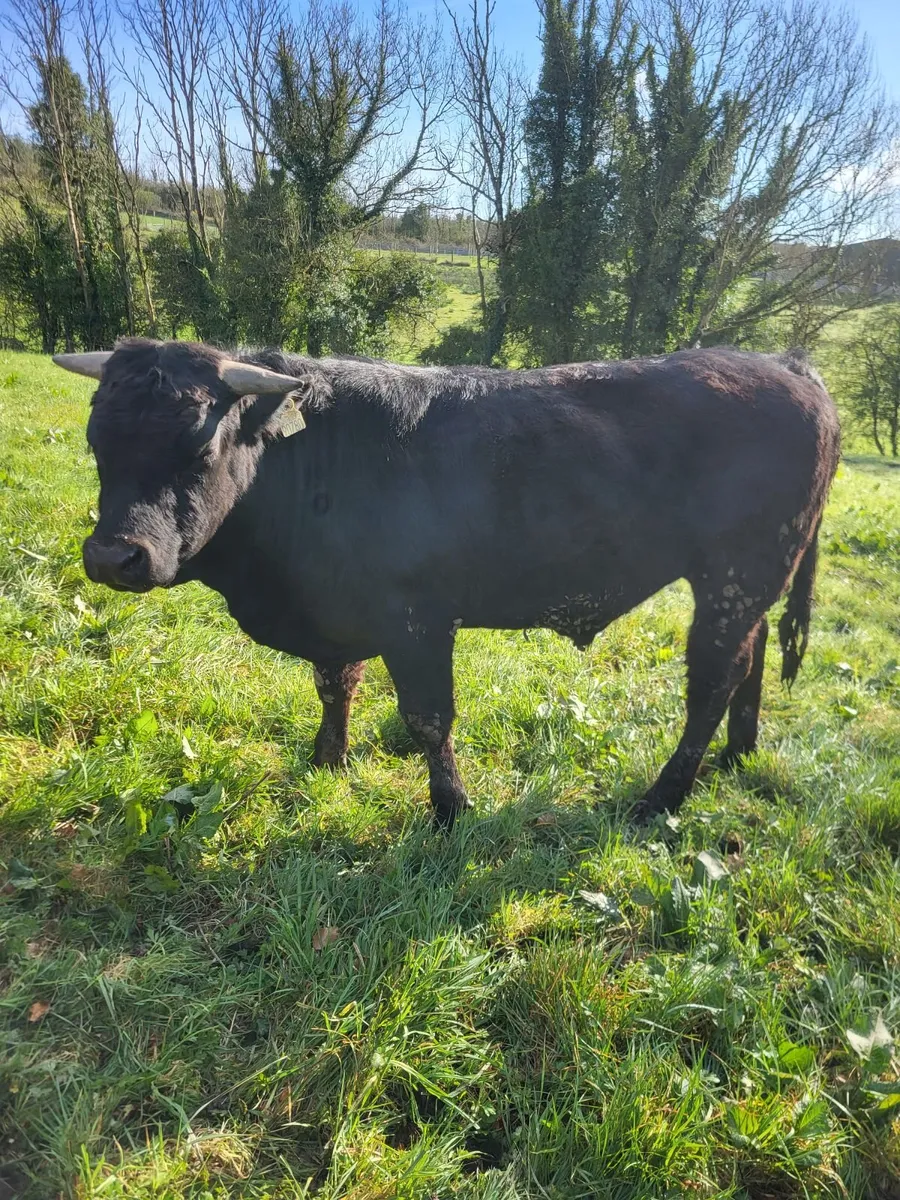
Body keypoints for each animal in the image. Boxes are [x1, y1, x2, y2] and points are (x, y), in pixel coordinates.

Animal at [53, 339, 840, 826]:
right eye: (96, 443)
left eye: (200, 444)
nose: (112, 558)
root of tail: (787, 363)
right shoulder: (340, 611)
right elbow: (335, 685)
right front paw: (329, 761)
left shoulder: (416, 619)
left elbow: (429, 718)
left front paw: (450, 809)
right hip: (745, 583)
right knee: (750, 658)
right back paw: (739, 754)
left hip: (736, 573)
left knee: (712, 679)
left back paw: (662, 798)